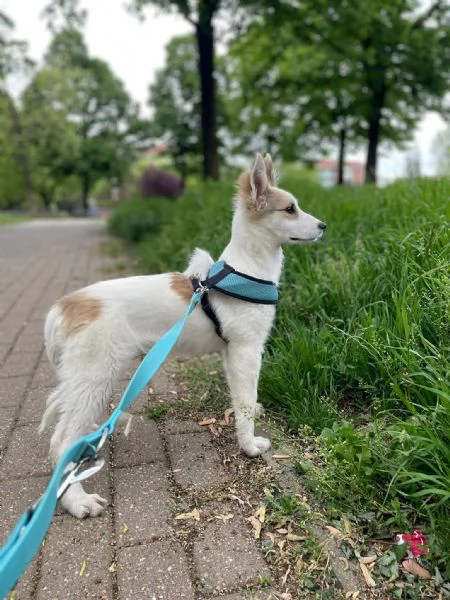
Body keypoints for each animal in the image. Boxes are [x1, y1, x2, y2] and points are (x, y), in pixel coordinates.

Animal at [40, 152, 326, 516]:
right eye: (290, 209)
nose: (323, 226)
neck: (246, 270)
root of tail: (63, 307)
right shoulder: (246, 350)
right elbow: (245, 402)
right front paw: (249, 445)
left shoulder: (230, 353)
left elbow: (242, 398)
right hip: (94, 378)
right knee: (61, 441)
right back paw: (77, 501)